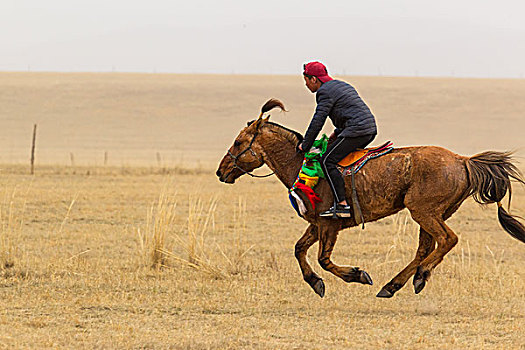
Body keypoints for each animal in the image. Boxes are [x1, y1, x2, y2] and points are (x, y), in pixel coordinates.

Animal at [214, 98, 524, 298]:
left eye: (239, 142)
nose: (221, 171)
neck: (300, 161)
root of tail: (463, 160)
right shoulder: (316, 224)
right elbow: (299, 249)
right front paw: (316, 283)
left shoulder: (329, 225)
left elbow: (324, 259)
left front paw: (357, 275)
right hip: (431, 213)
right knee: (425, 249)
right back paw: (394, 285)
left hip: (424, 212)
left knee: (447, 240)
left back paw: (420, 275)